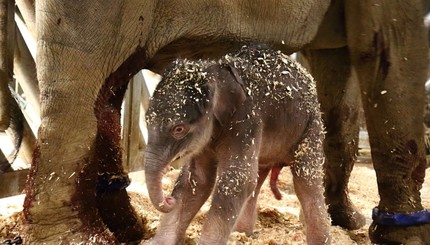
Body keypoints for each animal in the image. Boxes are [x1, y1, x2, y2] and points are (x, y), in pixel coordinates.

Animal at [144, 45, 330, 244]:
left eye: (178, 129)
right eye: (146, 120)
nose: (169, 200)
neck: (216, 73)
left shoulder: (246, 121)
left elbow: (238, 179)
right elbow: (197, 179)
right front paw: (157, 242)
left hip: (311, 126)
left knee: (306, 182)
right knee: (259, 177)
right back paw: (242, 234)